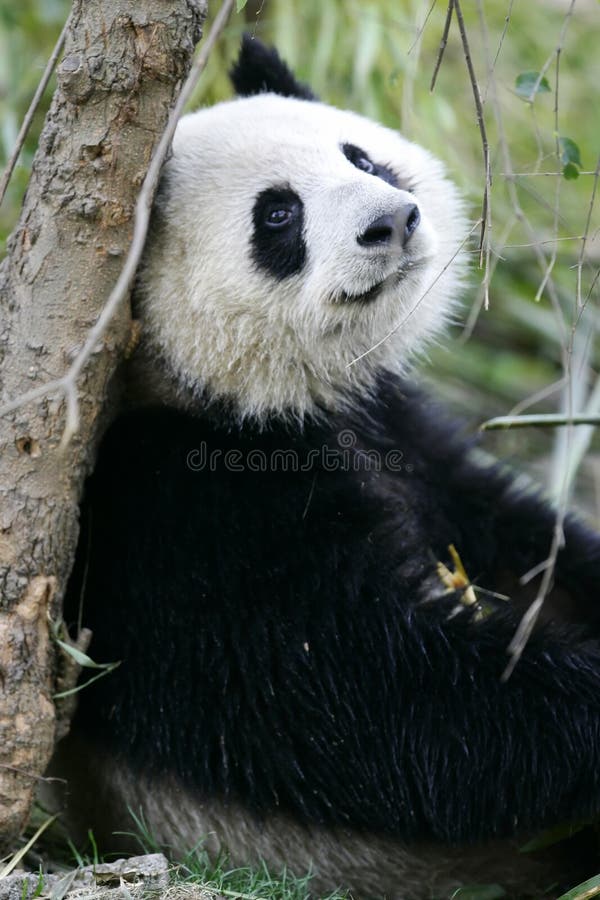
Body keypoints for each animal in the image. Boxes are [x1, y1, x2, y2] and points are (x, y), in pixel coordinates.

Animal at [48, 35, 600, 900]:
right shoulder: (178, 510)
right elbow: (380, 709)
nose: (393, 219)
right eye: (278, 213)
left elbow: (528, 539)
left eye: (362, 157)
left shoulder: (402, 430)